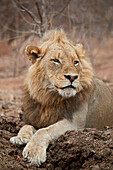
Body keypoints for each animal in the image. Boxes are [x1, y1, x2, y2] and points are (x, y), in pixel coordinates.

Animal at [9, 29, 113, 165]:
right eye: (56, 60)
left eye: (75, 62)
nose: (72, 77)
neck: (49, 98)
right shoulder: (37, 119)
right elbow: (26, 125)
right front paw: (20, 138)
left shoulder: (76, 125)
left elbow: (44, 131)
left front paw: (34, 153)